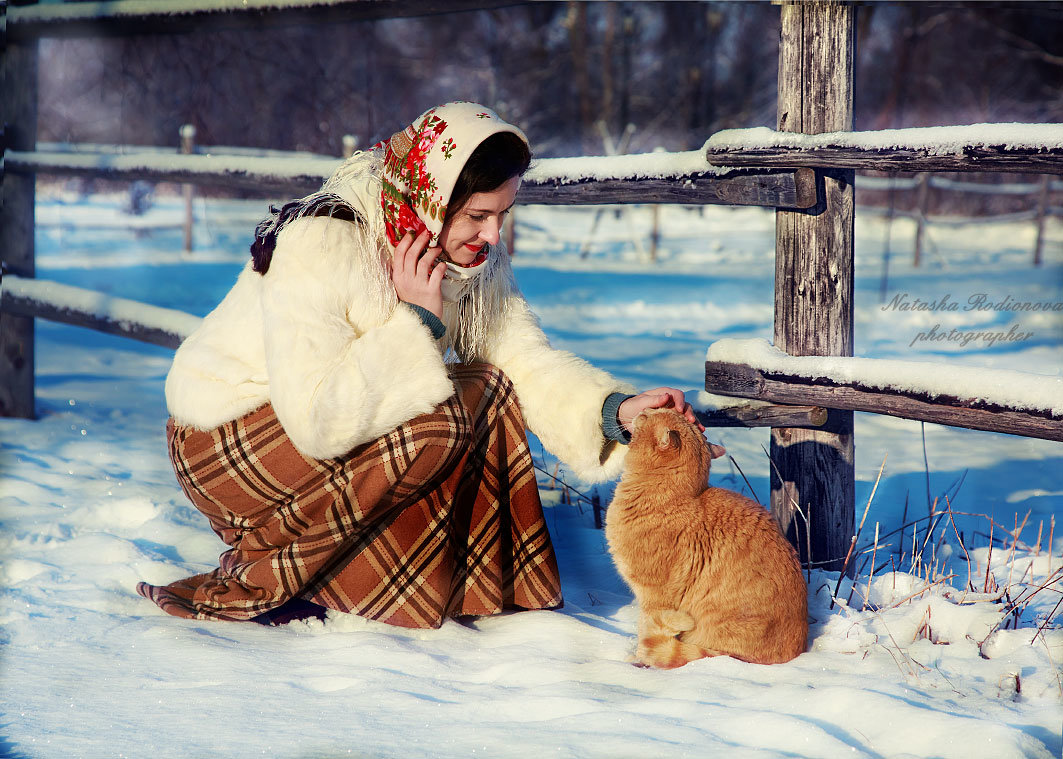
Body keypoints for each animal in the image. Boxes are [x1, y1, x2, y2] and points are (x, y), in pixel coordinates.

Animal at [608, 408, 803, 663]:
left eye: (651, 415)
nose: (643, 409)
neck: (669, 497)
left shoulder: (654, 599)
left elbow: (648, 631)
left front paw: (640, 659)